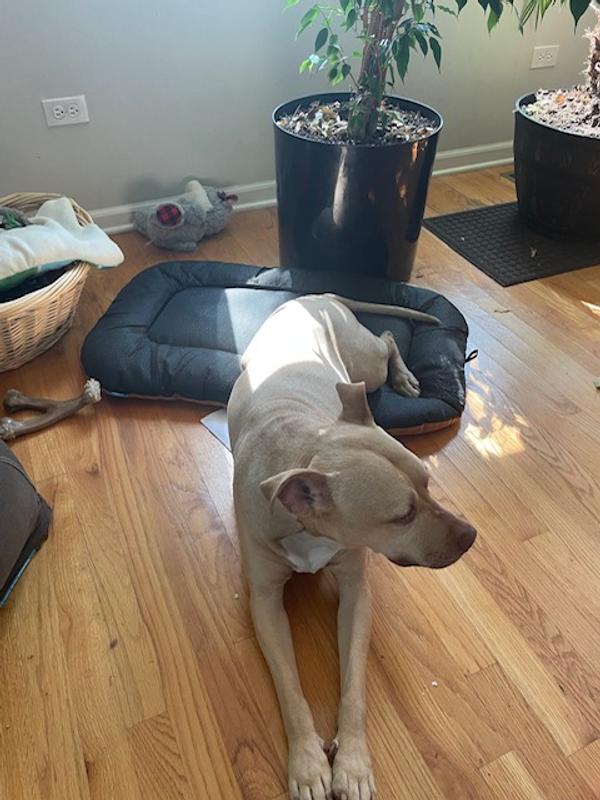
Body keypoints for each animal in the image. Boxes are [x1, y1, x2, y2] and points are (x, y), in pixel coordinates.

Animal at [228, 294, 476, 800]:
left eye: (428, 483)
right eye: (402, 515)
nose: (470, 536)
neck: (306, 448)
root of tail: (319, 297)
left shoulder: (356, 593)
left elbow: (355, 687)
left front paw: (354, 762)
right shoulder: (264, 602)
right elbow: (291, 688)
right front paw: (307, 764)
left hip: (365, 364)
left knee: (386, 340)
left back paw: (405, 377)